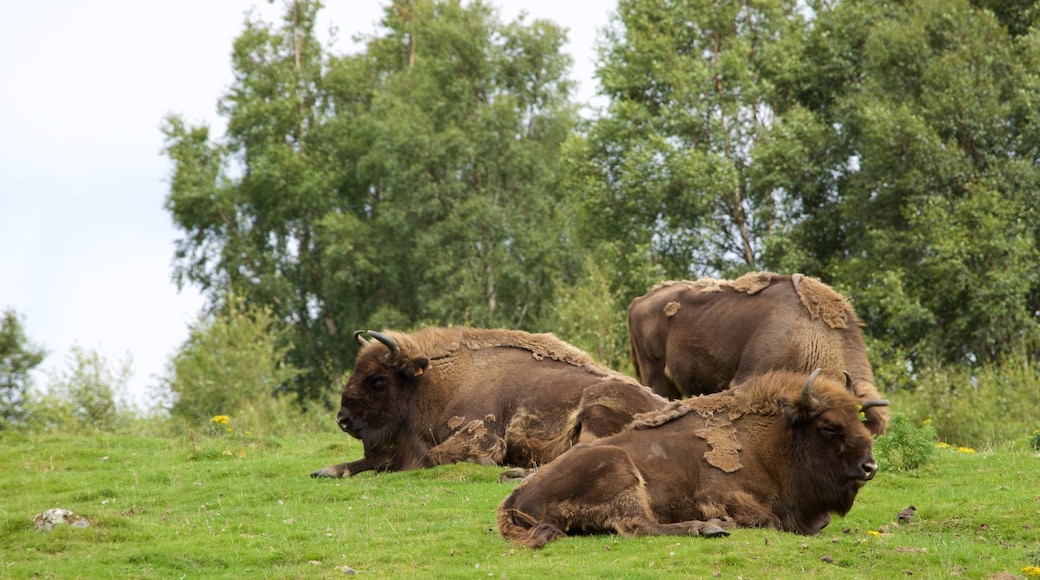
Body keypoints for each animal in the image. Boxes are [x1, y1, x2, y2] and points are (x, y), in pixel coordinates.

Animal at [309, 330, 665, 480]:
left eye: (378, 379)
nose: (343, 419)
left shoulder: (481, 435)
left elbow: (432, 457)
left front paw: (488, 464)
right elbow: (374, 460)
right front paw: (325, 470)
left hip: (597, 411)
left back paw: (515, 471)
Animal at [495, 370, 886, 548]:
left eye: (860, 419)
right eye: (831, 427)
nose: (869, 467)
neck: (771, 442)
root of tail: (513, 500)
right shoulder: (720, 495)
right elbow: (769, 520)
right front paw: (724, 522)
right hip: (620, 469)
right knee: (638, 525)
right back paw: (708, 528)